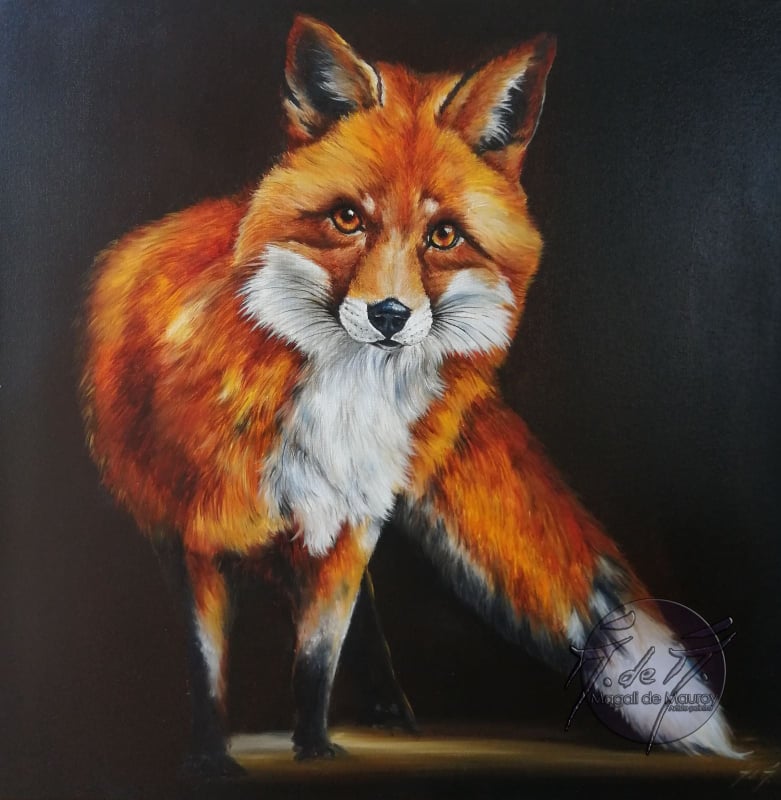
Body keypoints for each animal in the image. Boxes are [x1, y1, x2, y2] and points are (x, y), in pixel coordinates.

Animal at [80, 14, 742, 778]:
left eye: (443, 235)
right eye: (347, 219)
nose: (390, 315)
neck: (343, 400)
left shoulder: (351, 524)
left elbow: (317, 657)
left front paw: (315, 748)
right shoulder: (197, 539)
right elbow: (207, 664)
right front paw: (212, 760)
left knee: (360, 621)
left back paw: (389, 713)